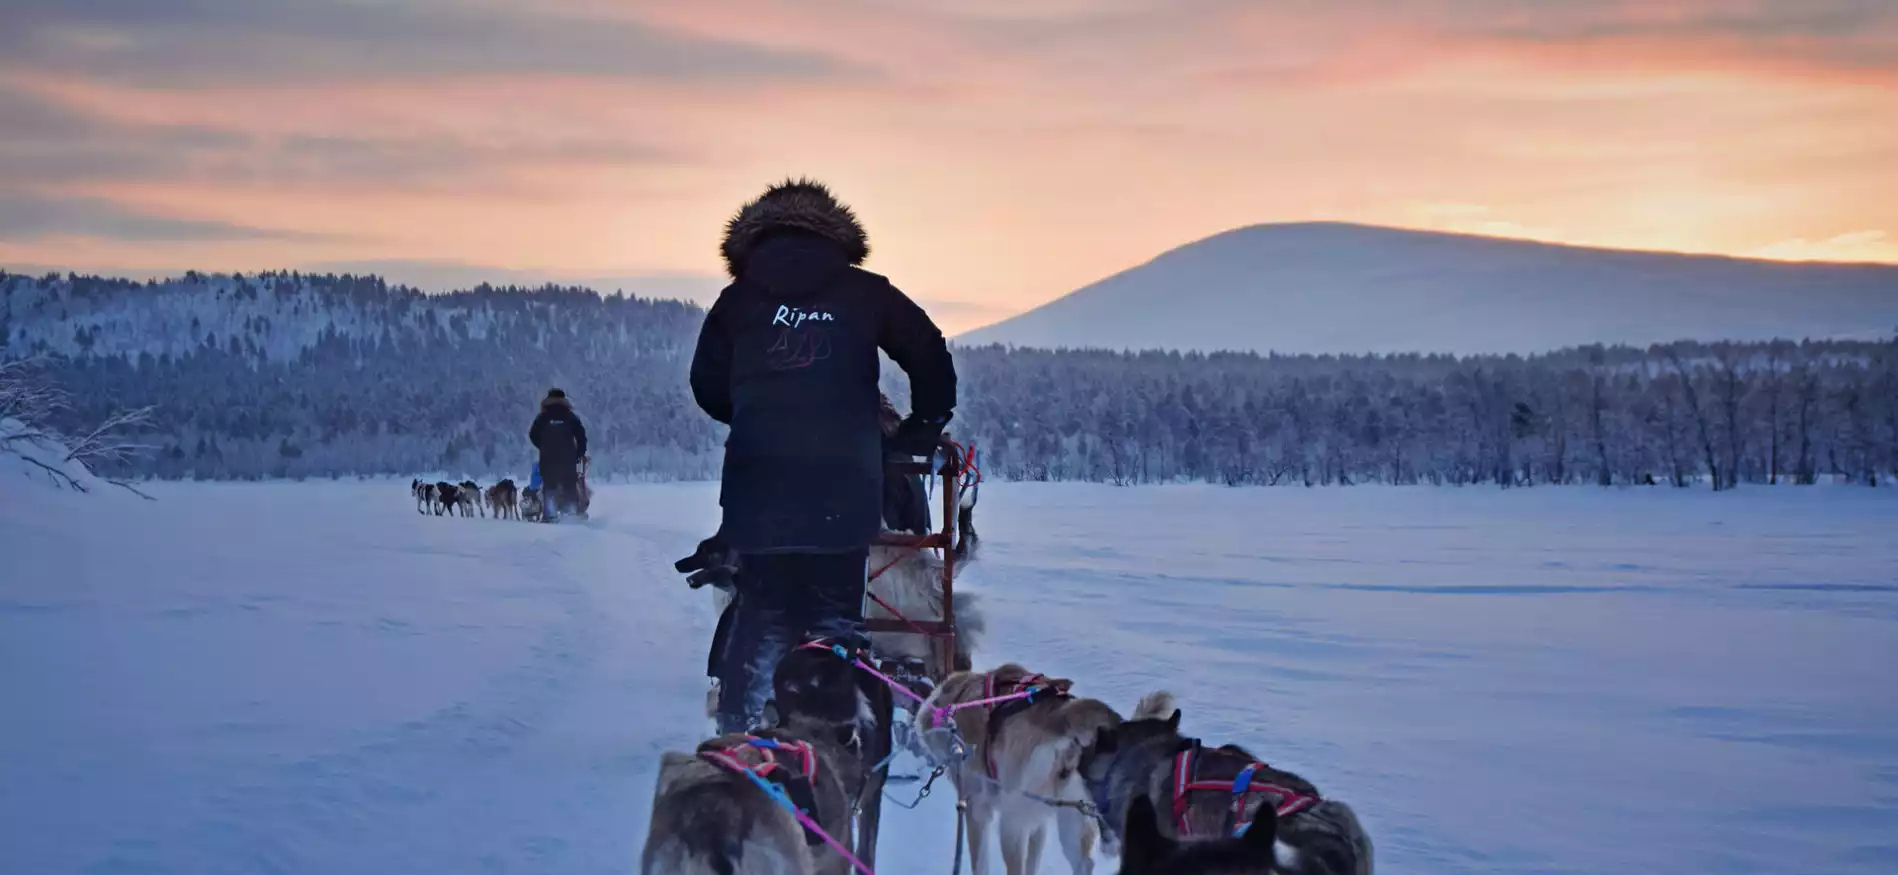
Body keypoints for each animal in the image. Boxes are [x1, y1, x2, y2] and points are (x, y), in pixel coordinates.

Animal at [918, 660, 1123, 873]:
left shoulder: (976, 808)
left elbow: (981, 863)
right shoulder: (1038, 821)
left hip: (1011, 823)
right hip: (1074, 816)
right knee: (1084, 863)